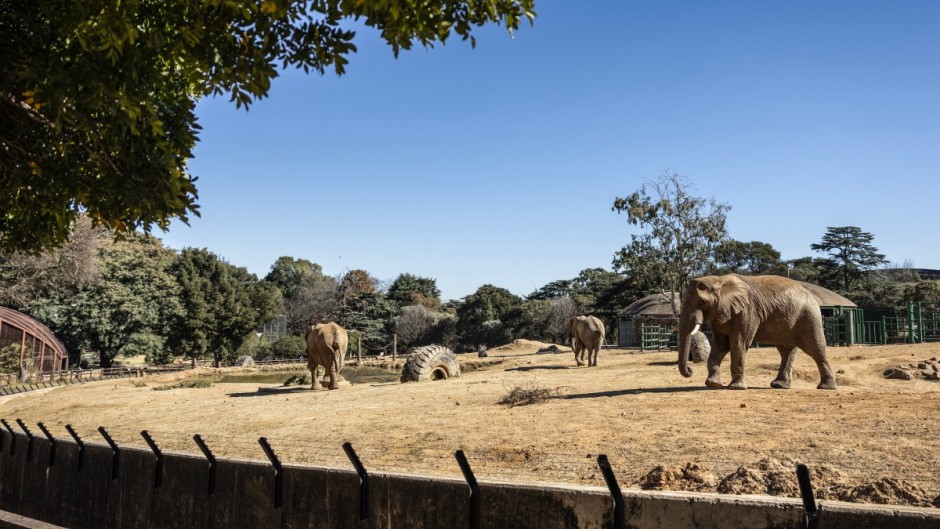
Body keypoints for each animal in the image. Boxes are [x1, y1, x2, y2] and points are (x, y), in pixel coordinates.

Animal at [677, 274, 837, 390]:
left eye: (701, 303)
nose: (690, 370)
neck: (720, 280)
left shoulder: (748, 311)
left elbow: (738, 343)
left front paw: (736, 388)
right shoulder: (719, 315)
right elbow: (720, 346)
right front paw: (713, 384)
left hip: (809, 316)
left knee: (815, 349)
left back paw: (826, 387)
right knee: (786, 350)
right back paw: (779, 385)